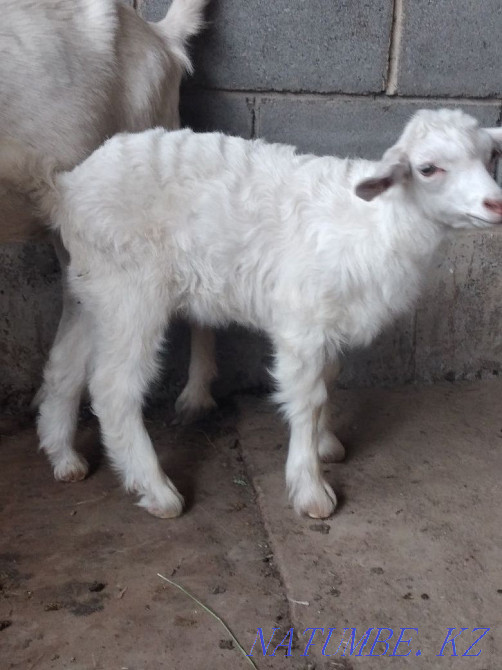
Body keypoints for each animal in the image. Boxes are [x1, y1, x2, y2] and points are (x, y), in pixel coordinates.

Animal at [2, 108, 502, 519]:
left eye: (491, 156)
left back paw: (63, 457)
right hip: (132, 291)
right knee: (112, 388)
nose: (495, 203)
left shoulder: (328, 322)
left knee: (64, 367)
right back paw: (158, 491)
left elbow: (328, 381)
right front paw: (310, 488)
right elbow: (307, 398)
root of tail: (66, 187)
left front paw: (325, 444)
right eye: (428, 168)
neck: (376, 224)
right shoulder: (301, 323)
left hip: (91, 287)